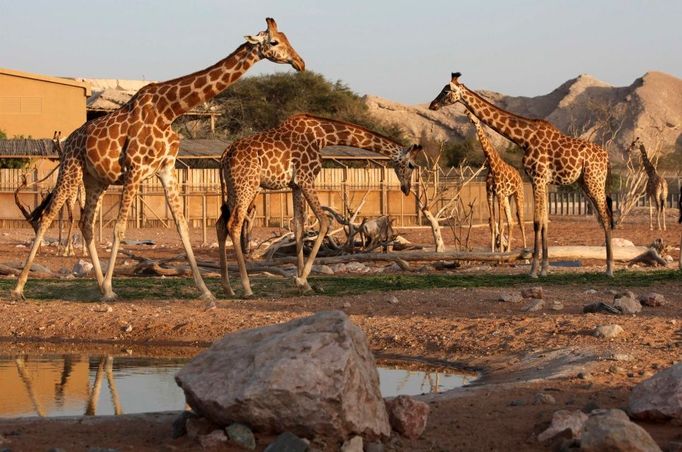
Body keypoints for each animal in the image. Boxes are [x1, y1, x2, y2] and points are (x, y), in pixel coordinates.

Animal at [9, 17, 302, 302]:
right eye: (274, 42)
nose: (300, 62)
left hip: (96, 181)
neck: (169, 110)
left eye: (287, 38)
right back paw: (20, 288)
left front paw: (206, 292)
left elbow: (182, 226)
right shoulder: (134, 169)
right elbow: (119, 228)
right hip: (71, 168)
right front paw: (111, 288)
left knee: (87, 223)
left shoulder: (166, 169)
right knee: (47, 216)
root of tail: (69, 140)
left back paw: (100, 286)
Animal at [216, 113, 420, 296]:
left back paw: (228, 288)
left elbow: (299, 226)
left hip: (233, 187)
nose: (406, 188)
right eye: (411, 165)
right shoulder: (306, 179)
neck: (322, 137)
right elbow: (324, 221)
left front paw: (303, 284)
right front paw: (301, 280)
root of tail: (224, 155)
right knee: (234, 224)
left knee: (220, 225)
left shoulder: (296, 185)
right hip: (247, 186)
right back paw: (246, 288)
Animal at [464, 111, 524, 252]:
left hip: (518, 194)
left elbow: (500, 225)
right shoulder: (490, 194)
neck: (492, 165)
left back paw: (524, 249)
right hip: (508, 197)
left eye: (476, 117)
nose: (468, 114)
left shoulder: (499, 194)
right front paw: (494, 251)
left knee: (521, 221)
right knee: (511, 221)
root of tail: (519, 176)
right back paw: (508, 250)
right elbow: (492, 224)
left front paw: (500, 251)